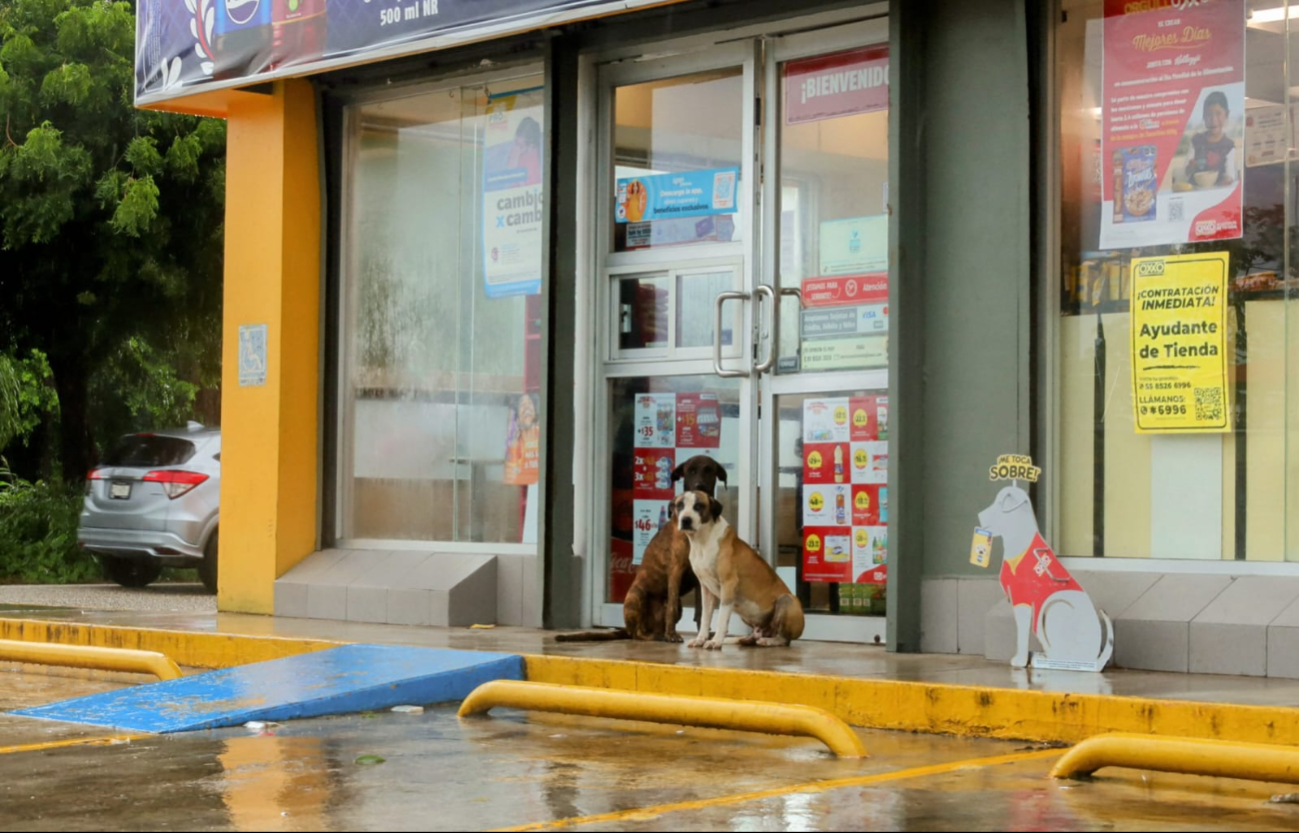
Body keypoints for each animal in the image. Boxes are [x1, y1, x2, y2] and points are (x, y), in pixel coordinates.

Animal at [553, 454, 727, 644]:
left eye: (708, 470)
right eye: (691, 471)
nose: (699, 486)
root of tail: (625, 630)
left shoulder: (700, 578)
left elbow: (701, 611)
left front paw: (703, 635)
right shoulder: (676, 570)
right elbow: (672, 608)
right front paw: (673, 635)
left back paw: (661, 634)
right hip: (637, 595)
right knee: (638, 633)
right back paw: (659, 635)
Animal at [670, 488, 800, 649]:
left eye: (699, 506)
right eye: (680, 505)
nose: (686, 520)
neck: (702, 542)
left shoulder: (728, 584)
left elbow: (721, 618)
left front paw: (716, 641)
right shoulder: (706, 589)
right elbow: (705, 618)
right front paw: (701, 639)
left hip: (786, 600)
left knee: (784, 639)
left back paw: (768, 641)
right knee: (755, 636)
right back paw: (745, 639)